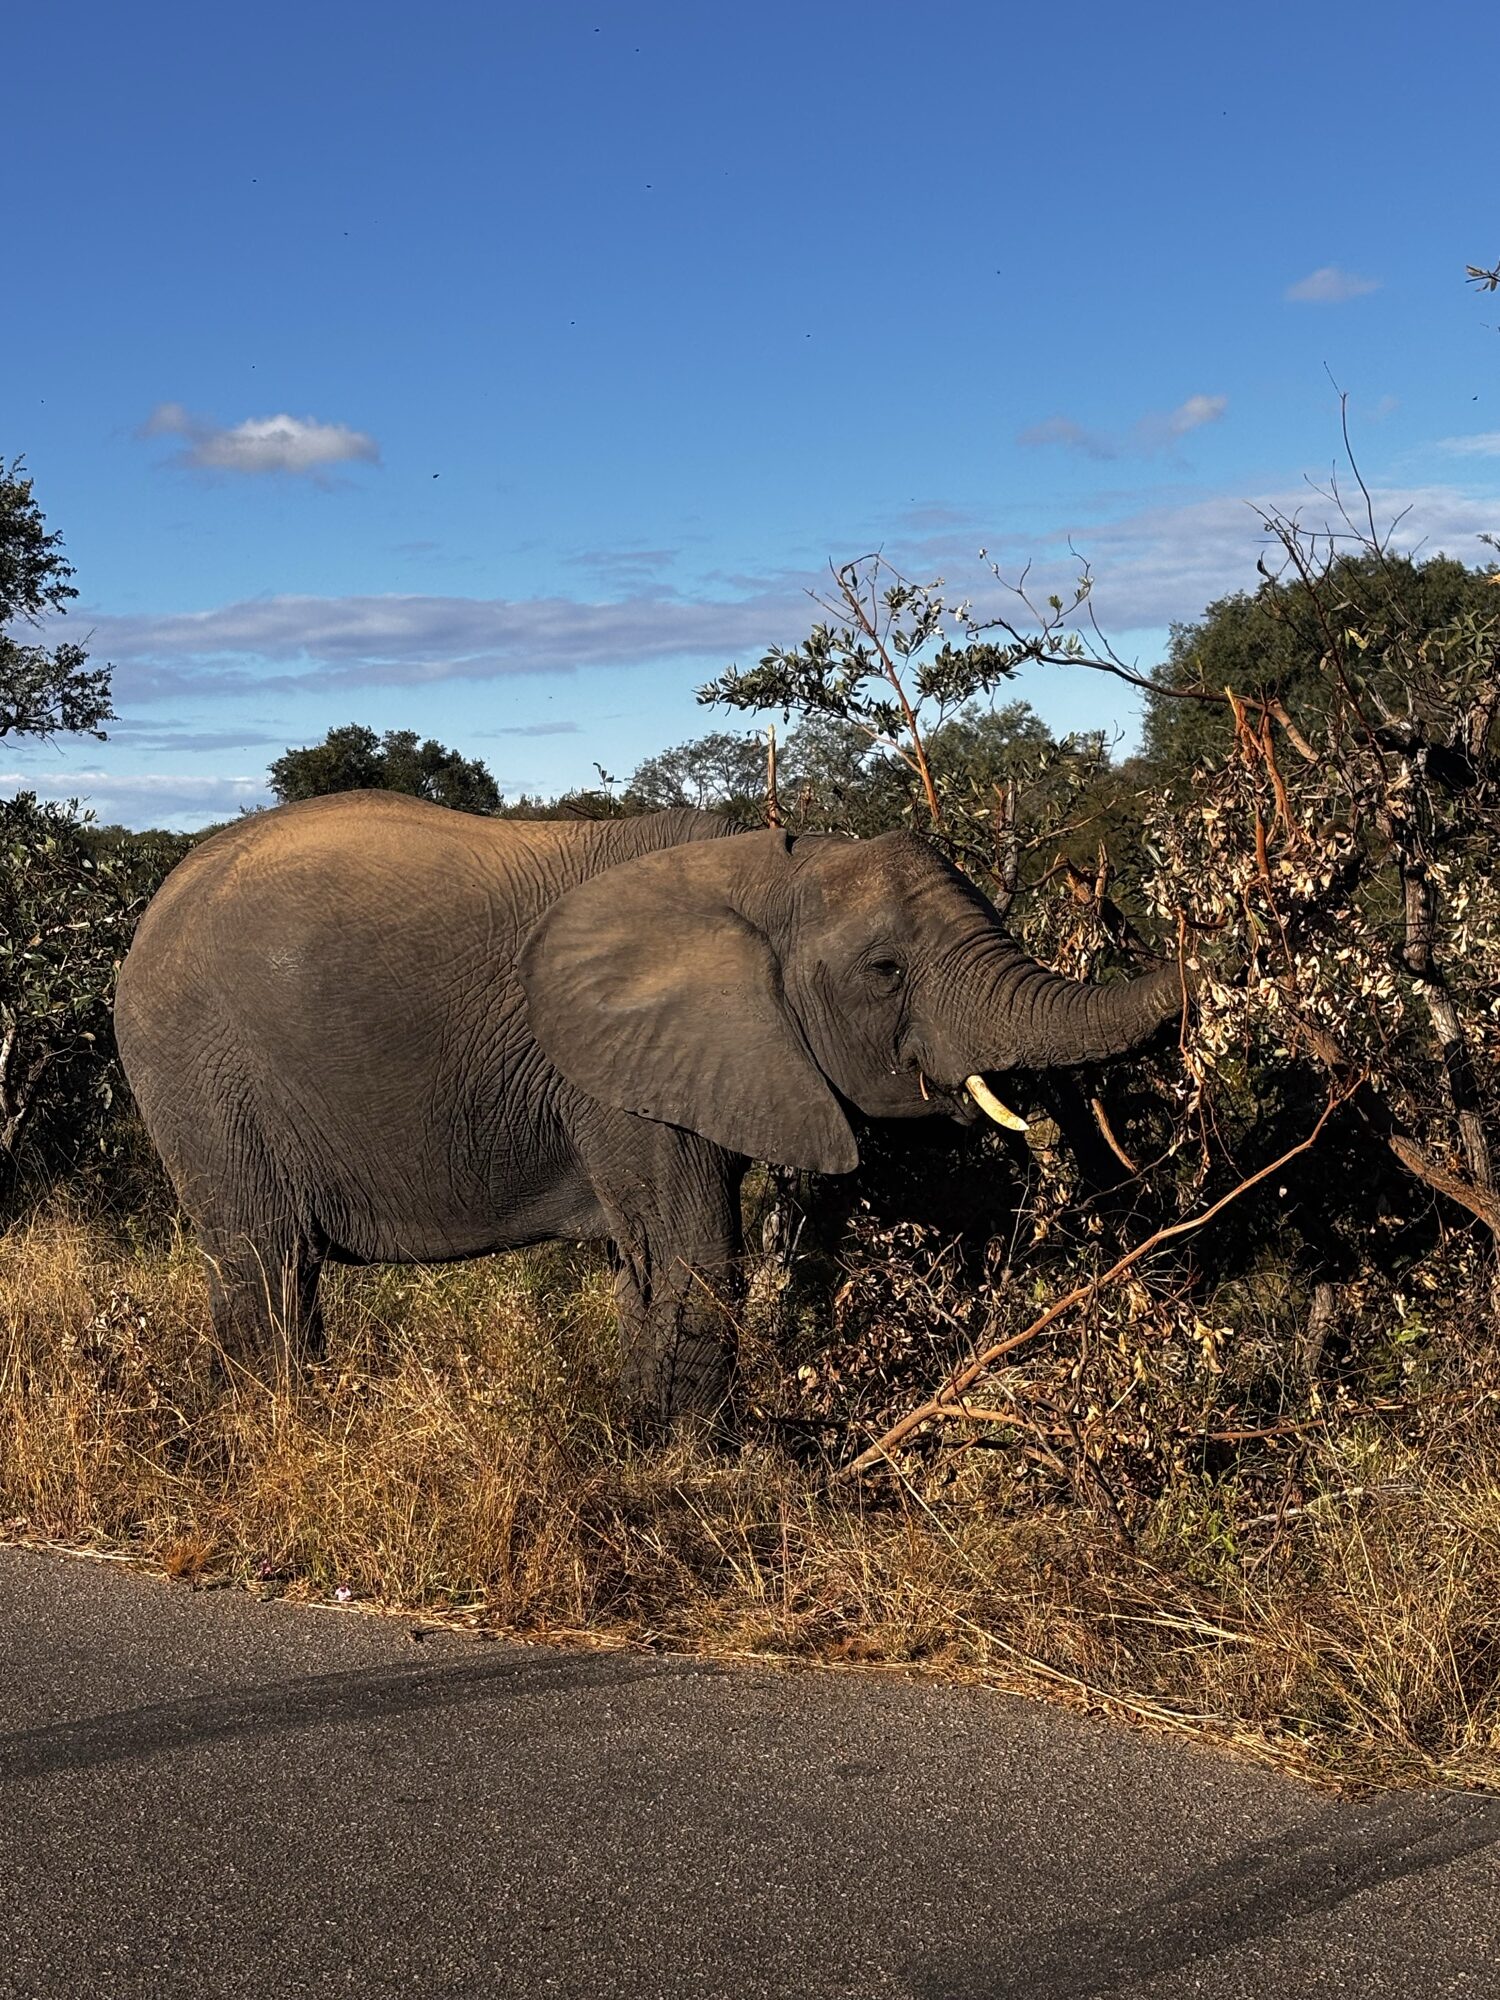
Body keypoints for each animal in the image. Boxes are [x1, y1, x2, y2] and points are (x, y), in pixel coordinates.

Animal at [113, 792, 1186, 1425]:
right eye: (885, 971)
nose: (1192, 965)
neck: (771, 868)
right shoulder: (617, 1065)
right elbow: (692, 1253)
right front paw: (685, 1470)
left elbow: (661, 1263)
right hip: (198, 1067)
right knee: (266, 1256)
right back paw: (279, 1435)